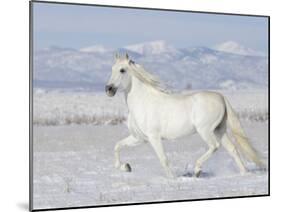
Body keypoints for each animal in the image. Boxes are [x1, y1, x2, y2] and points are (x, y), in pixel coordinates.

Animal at [105, 52, 262, 177]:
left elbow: (163, 159)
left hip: (205, 130)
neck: (143, 101)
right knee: (233, 150)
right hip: (219, 130)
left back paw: (197, 170)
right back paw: (244, 173)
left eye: (122, 70)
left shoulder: (154, 137)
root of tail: (221, 97)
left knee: (214, 146)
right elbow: (117, 146)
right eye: (111, 69)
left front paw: (172, 179)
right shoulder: (139, 138)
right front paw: (125, 167)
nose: (108, 89)